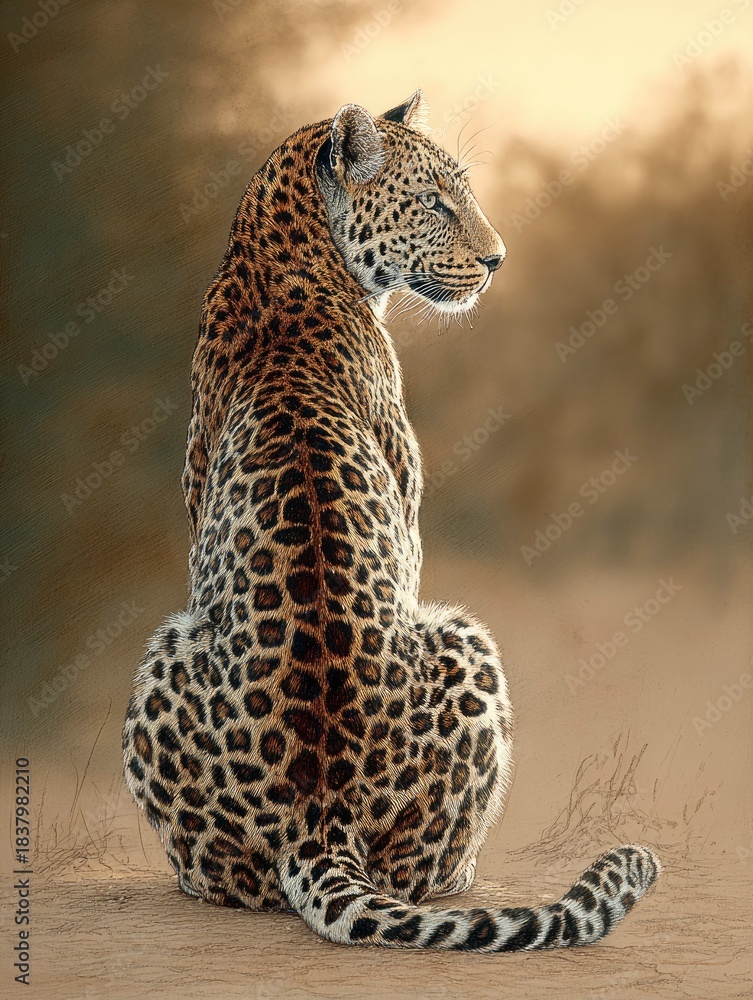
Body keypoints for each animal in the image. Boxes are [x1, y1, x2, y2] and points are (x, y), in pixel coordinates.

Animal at [123, 90, 660, 951]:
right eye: (433, 202)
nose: (498, 260)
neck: (281, 251)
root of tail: (318, 814)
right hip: (455, 638)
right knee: (363, 877)